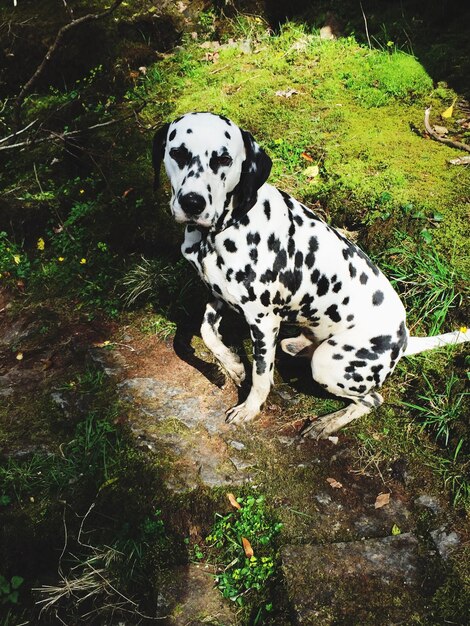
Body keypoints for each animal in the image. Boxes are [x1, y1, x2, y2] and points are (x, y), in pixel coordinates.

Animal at [152, 111, 468, 434]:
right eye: (177, 153)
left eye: (224, 159)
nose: (192, 202)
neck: (220, 231)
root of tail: (403, 340)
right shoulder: (219, 295)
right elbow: (206, 331)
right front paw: (232, 364)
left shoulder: (262, 321)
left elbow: (261, 376)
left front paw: (250, 408)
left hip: (330, 364)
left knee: (371, 399)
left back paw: (328, 422)